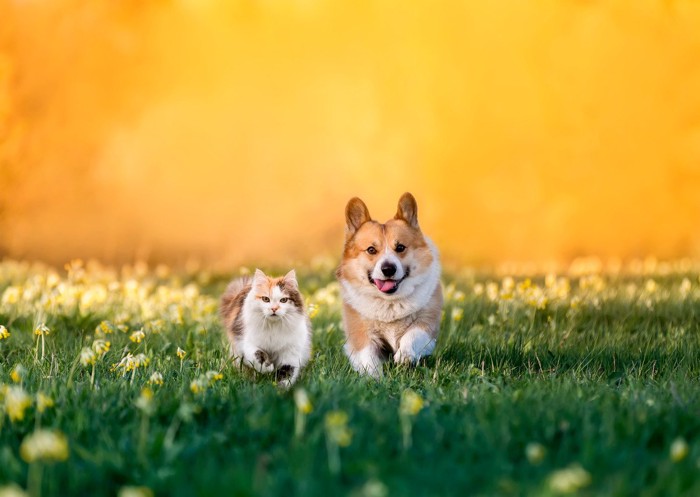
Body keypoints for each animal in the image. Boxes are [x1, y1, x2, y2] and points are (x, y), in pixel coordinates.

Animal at [334, 193, 442, 376]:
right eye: (371, 250)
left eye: (400, 247)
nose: (388, 269)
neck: (389, 302)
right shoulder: (360, 332)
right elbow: (368, 355)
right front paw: (373, 376)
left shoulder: (427, 323)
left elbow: (412, 335)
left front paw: (405, 355)